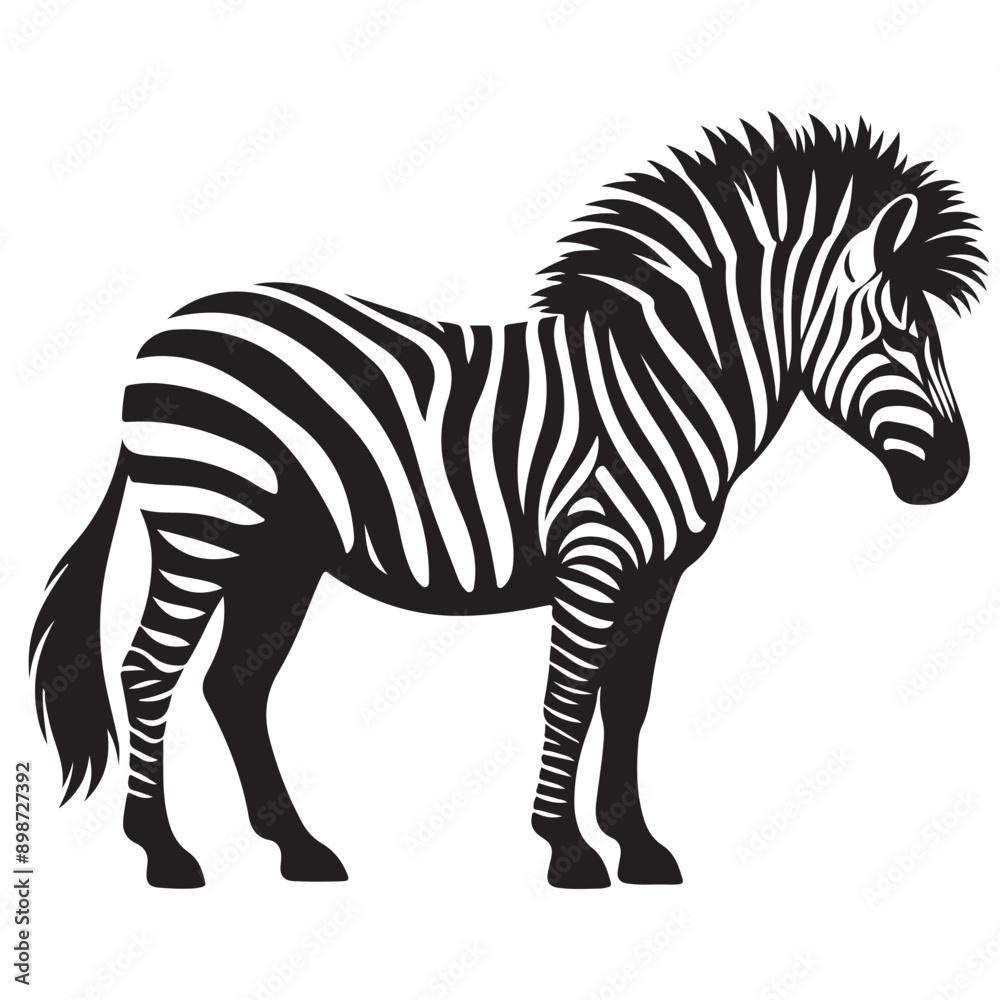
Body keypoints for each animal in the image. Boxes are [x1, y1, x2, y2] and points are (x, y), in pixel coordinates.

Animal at [29, 116, 986, 889]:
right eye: (897, 335)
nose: (951, 476)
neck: (662, 386)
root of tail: (166, 331)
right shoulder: (593, 558)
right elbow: (568, 696)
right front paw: (567, 851)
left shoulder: (655, 578)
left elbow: (626, 705)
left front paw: (639, 849)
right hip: (205, 523)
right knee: (148, 670)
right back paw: (164, 853)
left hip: (282, 553)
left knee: (235, 683)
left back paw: (298, 849)